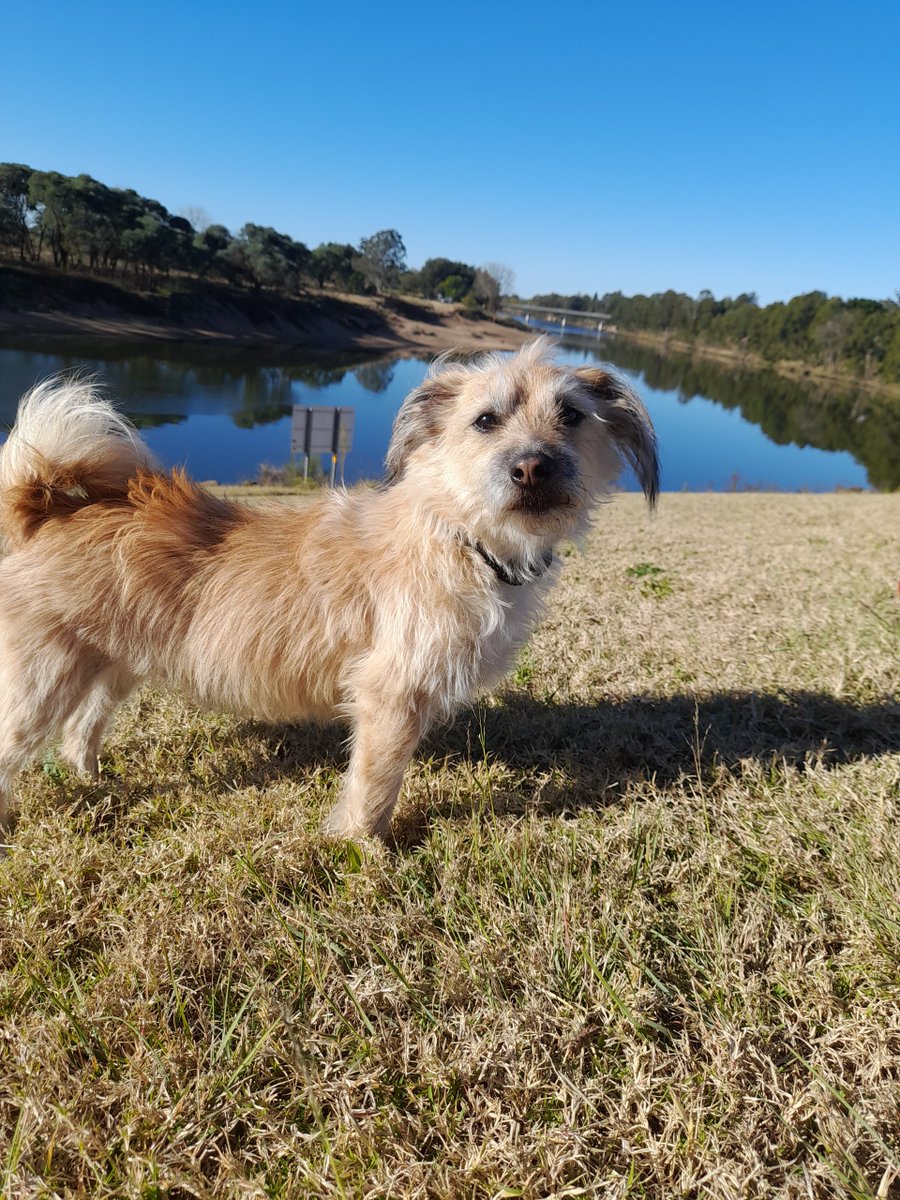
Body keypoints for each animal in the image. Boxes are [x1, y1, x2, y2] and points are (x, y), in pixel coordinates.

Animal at [1, 338, 662, 840]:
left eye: (572, 415)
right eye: (485, 420)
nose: (531, 467)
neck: (457, 534)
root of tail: (47, 506)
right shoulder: (391, 696)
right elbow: (376, 782)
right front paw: (363, 851)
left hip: (115, 663)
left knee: (81, 728)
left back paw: (93, 779)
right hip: (42, 681)